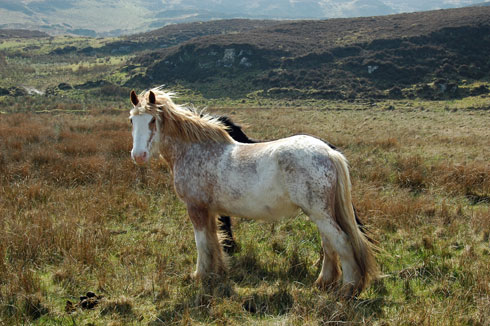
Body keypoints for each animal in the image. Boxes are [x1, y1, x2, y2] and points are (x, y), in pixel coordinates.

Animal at [128, 88, 378, 296]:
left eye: (152, 120)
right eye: (132, 120)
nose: (138, 156)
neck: (195, 150)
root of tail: (328, 151)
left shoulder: (196, 208)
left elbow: (202, 243)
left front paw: (199, 276)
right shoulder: (210, 211)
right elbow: (215, 240)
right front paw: (216, 274)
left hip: (319, 213)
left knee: (341, 242)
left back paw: (348, 288)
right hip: (321, 214)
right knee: (329, 245)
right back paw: (323, 283)